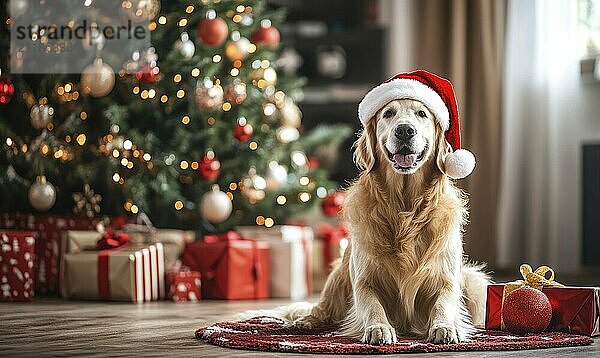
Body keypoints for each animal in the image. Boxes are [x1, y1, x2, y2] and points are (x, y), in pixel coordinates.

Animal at [239, 69, 488, 344]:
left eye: (422, 114)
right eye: (388, 114)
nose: (404, 130)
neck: (404, 209)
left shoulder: (446, 278)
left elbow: (445, 303)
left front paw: (445, 326)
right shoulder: (364, 278)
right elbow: (371, 304)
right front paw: (379, 327)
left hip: (474, 282)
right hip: (339, 272)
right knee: (322, 307)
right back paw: (308, 320)